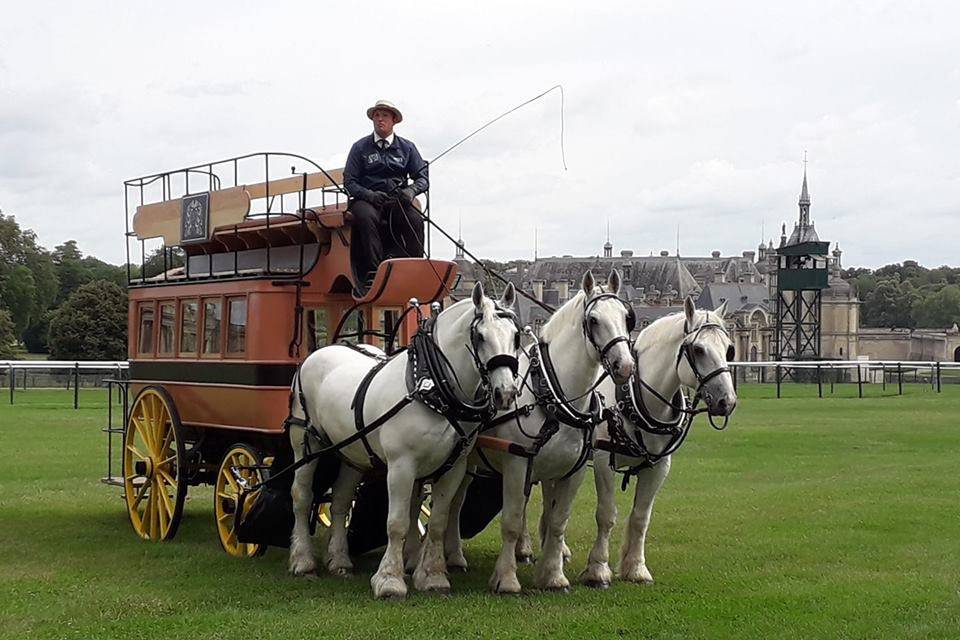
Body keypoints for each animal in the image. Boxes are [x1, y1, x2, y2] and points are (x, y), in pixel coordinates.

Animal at [288, 282, 520, 596]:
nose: (505, 393)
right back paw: (303, 561)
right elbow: (397, 522)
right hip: (305, 444)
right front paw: (389, 580)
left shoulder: (454, 468)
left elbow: (437, 522)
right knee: (302, 496)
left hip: (352, 451)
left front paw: (433, 576)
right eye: (480, 336)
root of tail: (321, 350)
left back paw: (339, 560)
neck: (432, 389)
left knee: (340, 501)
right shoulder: (401, 465)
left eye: (516, 336)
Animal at [448, 270, 636, 596]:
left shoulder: (572, 470)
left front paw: (552, 575)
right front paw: (506, 578)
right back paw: (451, 556)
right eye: (594, 320)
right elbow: (511, 520)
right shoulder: (517, 462)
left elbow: (558, 520)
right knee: (453, 505)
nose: (624, 366)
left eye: (627, 317)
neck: (551, 394)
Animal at [580, 298, 740, 588]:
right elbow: (606, 515)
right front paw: (598, 569)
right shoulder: (603, 462)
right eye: (698, 349)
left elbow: (641, 517)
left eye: (729, 349)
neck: (635, 400)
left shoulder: (658, 467)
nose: (727, 401)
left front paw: (635, 568)